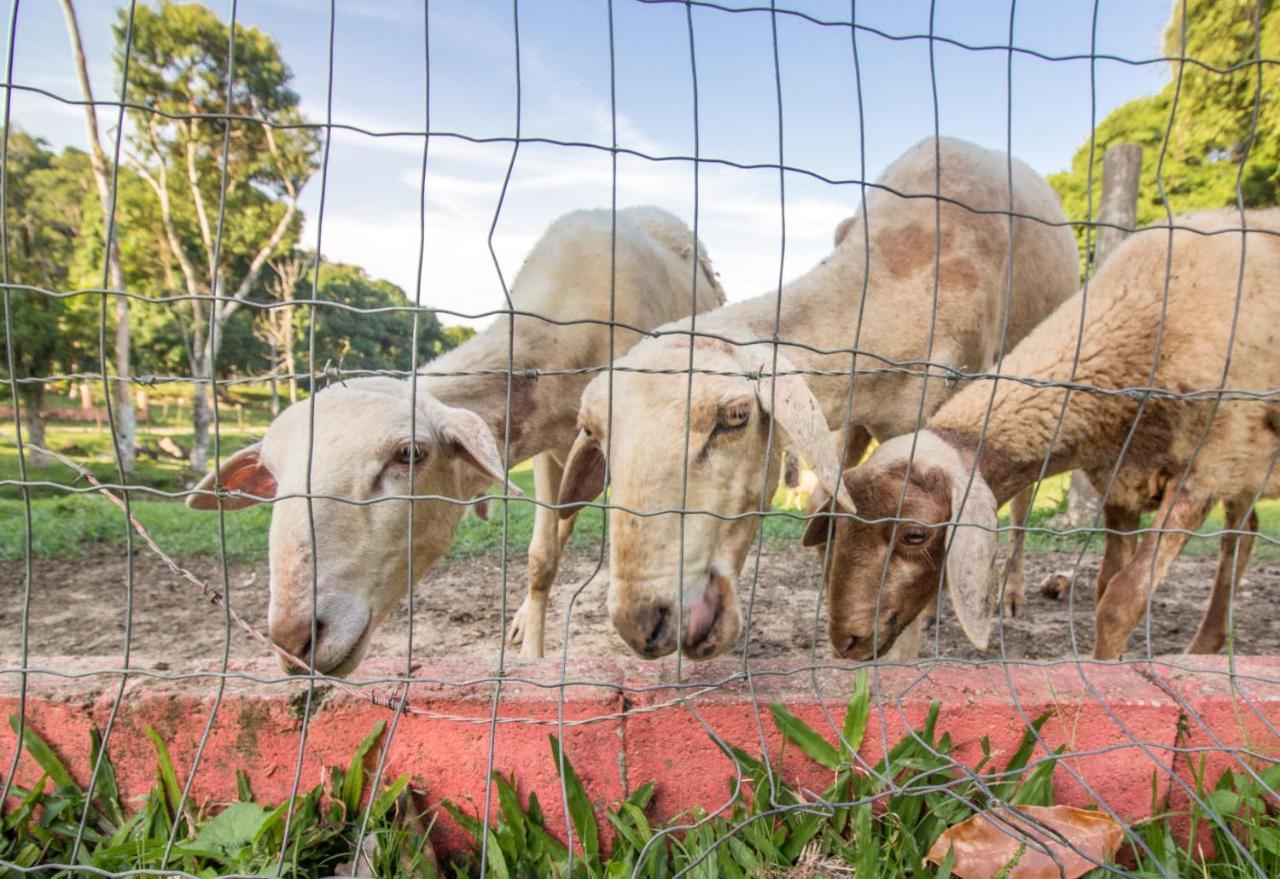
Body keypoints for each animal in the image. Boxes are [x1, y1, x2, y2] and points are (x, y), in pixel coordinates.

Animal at [189, 205, 732, 675]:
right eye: (273, 474)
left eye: (409, 453)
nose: (294, 639)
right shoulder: (552, 451)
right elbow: (541, 559)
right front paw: (531, 655)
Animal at [558, 137, 1080, 660]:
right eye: (595, 433)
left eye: (735, 416)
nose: (644, 625)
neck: (902, 272)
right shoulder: (849, 413)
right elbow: (824, 504)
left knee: (1023, 500)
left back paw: (1010, 593)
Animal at [808, 205, 1280, 660]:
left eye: (915, 534)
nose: (844, 641)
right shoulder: (1119, 483)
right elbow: (1105, 586)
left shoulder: (1202, 475)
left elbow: (1122, 600)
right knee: (1246, 532)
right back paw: (1207, 645)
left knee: (1238, 536)